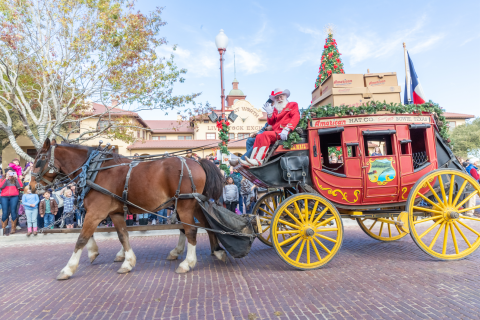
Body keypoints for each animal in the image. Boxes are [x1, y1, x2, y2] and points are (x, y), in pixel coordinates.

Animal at [30, 138, 225, 280]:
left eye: (39, 160)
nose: (31, 186)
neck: (94, 170)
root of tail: (197, 162)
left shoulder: (95, 212)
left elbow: (81, 238)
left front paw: (68, 268)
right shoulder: (115, 213)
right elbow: (123, 235)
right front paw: (127, 262)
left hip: (186, 205)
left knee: (191, 230)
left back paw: (187, 263)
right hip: (194, 204)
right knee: (205, 225)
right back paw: (217, 250)